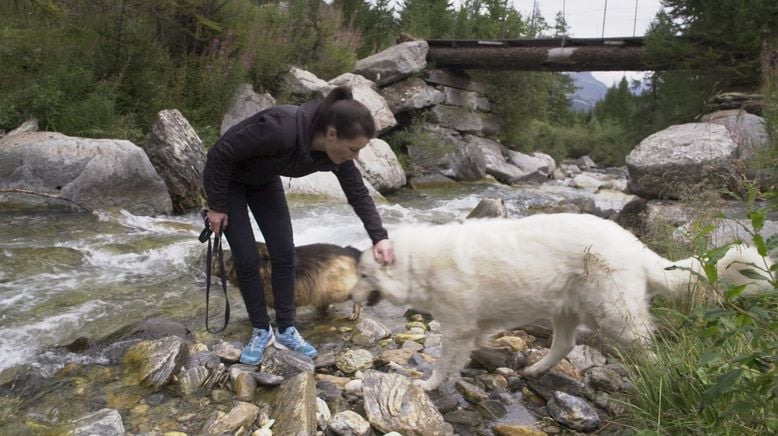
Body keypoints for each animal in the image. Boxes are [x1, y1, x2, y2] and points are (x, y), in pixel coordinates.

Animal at [214, 242, 362, 320]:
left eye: (233, 260)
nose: (220, 268)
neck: (267, 271)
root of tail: (349, 251)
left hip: (337, 288)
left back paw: (354, 312)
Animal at [350, 213, 768, 390]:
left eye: (363, 275)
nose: (348, 295)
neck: (418, 263)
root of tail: (632, 242)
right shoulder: (472, 325)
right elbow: (477, 343)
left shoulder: (457, 326)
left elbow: (444, 361)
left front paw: (430, 384)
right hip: (566, 309)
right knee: (564, 344)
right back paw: (536, 370)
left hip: (614, 313)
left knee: (645, 344)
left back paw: (657, 375)